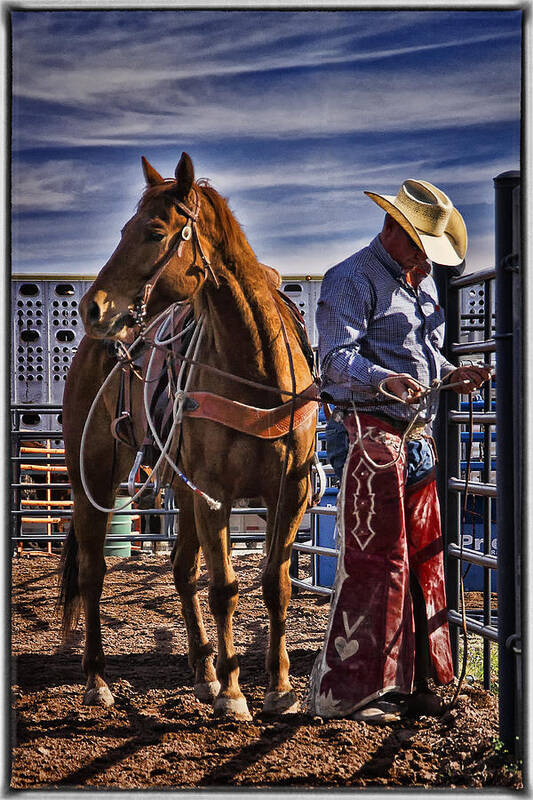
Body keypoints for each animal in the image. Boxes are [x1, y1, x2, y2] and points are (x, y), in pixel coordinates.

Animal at [59, 150, 316, 720]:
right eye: (124, 228)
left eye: (155, 232)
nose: (92, 308)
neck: (256, 369)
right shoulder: (215, 495)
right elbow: (224, 588)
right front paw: (236, 695)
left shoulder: (290, 491)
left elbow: (276, 585)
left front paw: (279, 686)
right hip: (93, 477)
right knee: (92, 572)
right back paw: (96, 679)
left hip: (180, 488)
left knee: (178, 569)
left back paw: (203, 674)